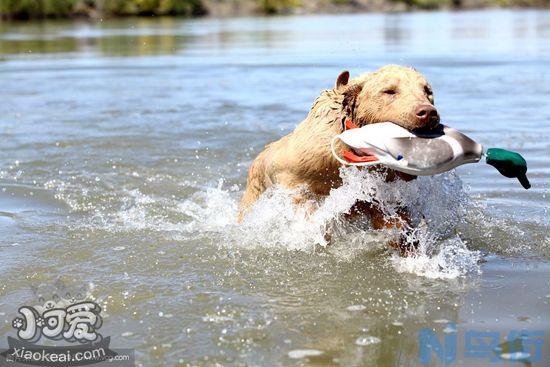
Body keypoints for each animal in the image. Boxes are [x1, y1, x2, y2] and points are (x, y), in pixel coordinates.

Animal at [239, 64, 442, 253]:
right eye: (389, 90)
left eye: (427, 91)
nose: (428, 113)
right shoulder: (297, 176)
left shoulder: (381, 191)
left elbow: (393, 220)